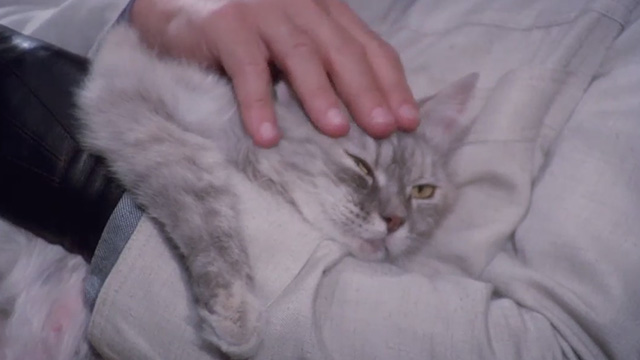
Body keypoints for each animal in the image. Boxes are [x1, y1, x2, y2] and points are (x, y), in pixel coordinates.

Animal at [0, 23, 478, 358]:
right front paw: (235, 312)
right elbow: (209, 203)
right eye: (361, 166)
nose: (395, 221)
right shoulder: (132, 103)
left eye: (423, 191)